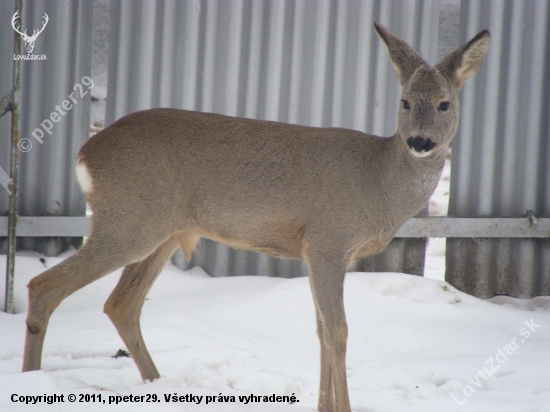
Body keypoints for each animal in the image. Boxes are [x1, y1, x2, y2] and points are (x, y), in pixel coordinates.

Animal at [22, 23, 492, 412]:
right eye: (405, 102)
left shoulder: (317, 252)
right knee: (44, 285)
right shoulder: (328, 240)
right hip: (129, 220)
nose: (420, 142)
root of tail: (86, 155)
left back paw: (157, 384)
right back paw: (31, 380)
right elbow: (337, 331)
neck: (380, 180)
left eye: (445, 104)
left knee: (121, 303)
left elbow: (321, 330)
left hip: (164, 230)